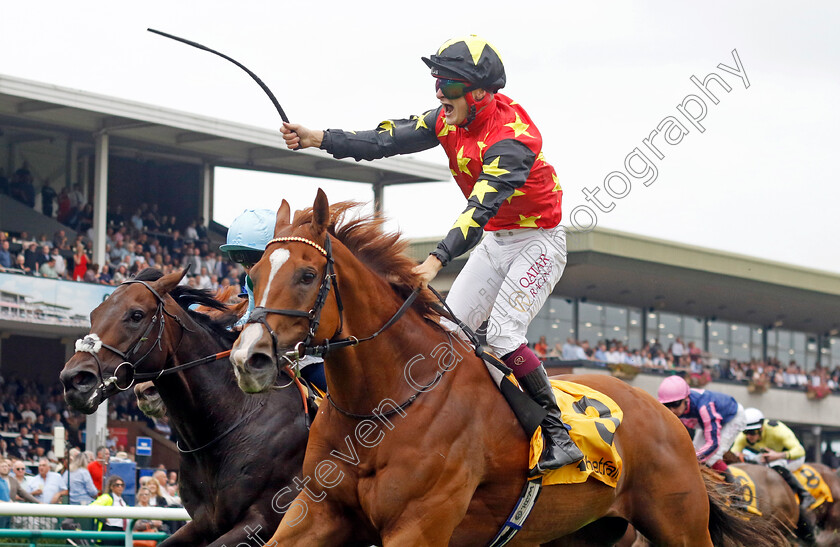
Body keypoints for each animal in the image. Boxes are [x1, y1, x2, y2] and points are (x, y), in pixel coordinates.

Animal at [230, 191, 788, 544]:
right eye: (251, 275)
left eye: (307, 275)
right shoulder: (316, 512)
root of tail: (665, 414)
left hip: (679, 523)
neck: (385, 405)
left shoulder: (418, 525)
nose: (247, 358)